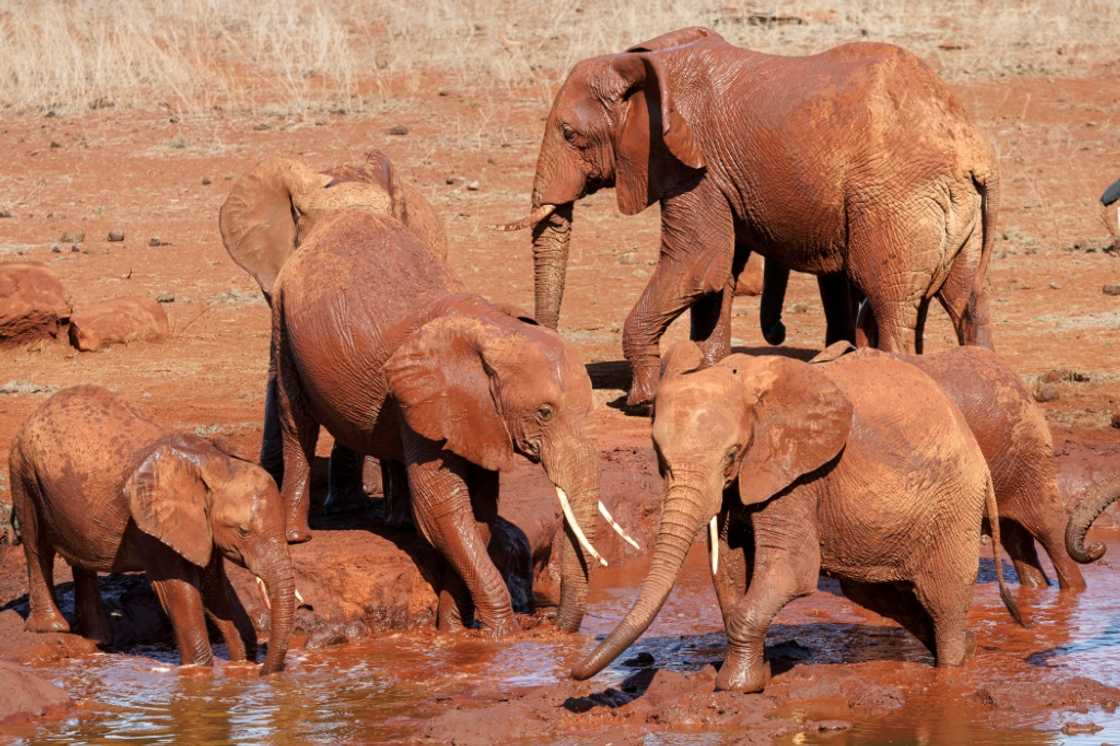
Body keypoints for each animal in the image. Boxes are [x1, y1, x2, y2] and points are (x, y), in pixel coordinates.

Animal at [8, 385, 293, 674]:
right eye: (243, 531)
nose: (263, 672)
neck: (213, 462)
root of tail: (35, 413)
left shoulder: (200, 528)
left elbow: (214, 587)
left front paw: (241, 665)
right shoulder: (151, 526)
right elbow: (178, 590)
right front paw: (198, 671)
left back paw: (98, 638)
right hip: (23, 472)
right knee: (37, 545)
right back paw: (51, 628)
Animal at [504, 26, 998, 405]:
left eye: (570, 134)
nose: (551, 349)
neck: (648, 63)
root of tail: (975, 154)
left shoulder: (694, 167)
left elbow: (697, 263)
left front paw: (641, 398)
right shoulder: (718, 178)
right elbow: (717, 274)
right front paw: (705, 373)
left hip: (894, 202)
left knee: (890, 300)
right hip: (955, 214)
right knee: (966, 301)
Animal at [573, 343, 1022, 692]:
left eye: (732, 454)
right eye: (659, 456)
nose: (575, 674)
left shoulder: (796, 475)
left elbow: (792, 569)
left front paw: (736, 687)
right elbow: (731, 569)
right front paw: (754, 675)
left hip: (954, 507)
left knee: (942, 600)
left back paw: (952, 669)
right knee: (884, 596)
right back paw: (970, 648)